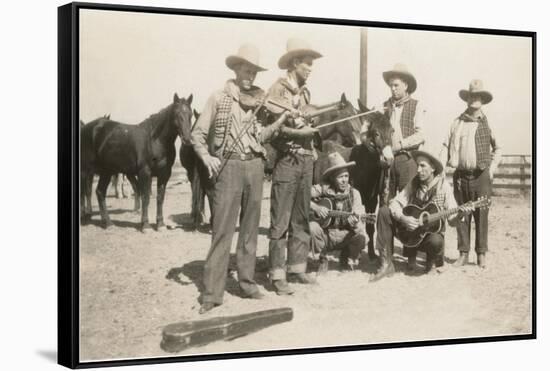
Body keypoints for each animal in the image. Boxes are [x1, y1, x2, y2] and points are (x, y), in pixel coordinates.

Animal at [81, 93, 195, 232]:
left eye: (190, 114)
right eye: (177, 114)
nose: (187, 140)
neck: (154, 140)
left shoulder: (164, 174)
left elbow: (160, 198)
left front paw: (160, 224)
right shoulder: (144, 173)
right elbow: (145, 196)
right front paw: (145, 225)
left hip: (106, 171)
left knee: (100, 192)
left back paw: (108, 223)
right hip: (86, 171)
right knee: (85, 192)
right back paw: (87, 216)